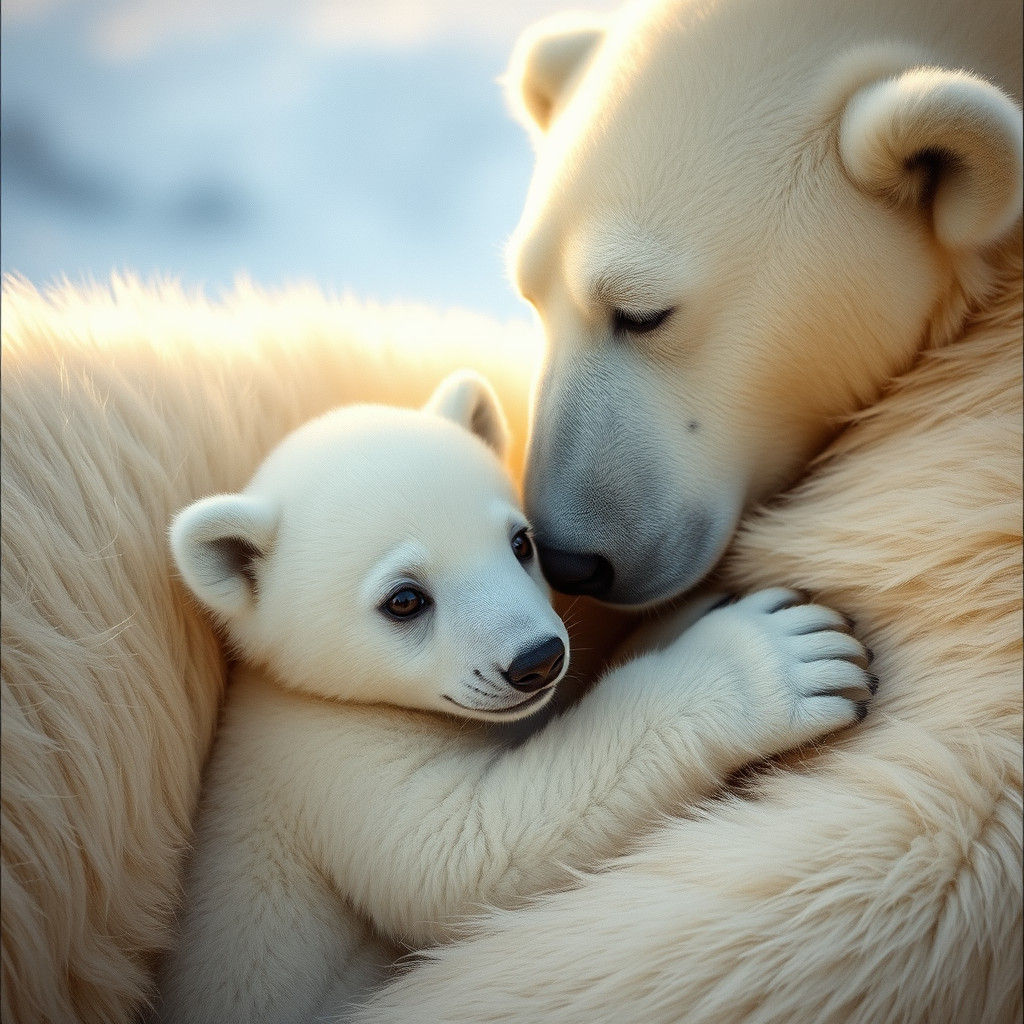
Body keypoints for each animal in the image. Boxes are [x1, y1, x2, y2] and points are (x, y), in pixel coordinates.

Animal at [158, 369, 874, 1023]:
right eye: (405, 599)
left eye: (520, 542)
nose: (537, 660)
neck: (298, 685)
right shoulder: (325, 756)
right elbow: (468, 853)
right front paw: (784, 656)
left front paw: (684, 618)